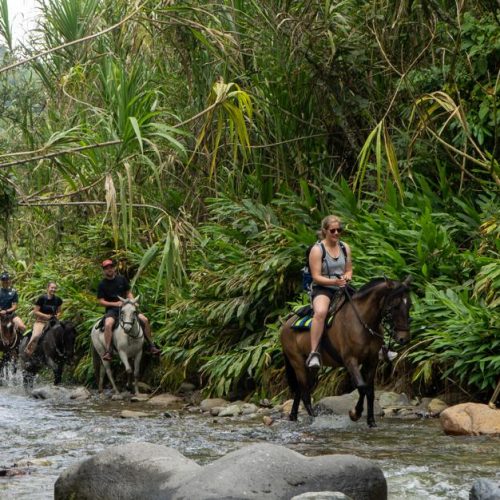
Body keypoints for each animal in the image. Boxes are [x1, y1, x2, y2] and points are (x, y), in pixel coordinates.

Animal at [280, 278, 412, 426]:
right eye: (394, 306)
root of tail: (285, 325)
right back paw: (314, 417)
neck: (362, 322)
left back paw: (293, 417)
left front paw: (371, 421)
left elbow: (370, 391)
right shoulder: (350, 360)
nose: (403, 338)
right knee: (304, 391)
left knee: (300, 388)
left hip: (311, 368)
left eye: (409, 305)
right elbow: (362, 386)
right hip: (297, 361)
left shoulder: (372, 361)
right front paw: (355, 414)